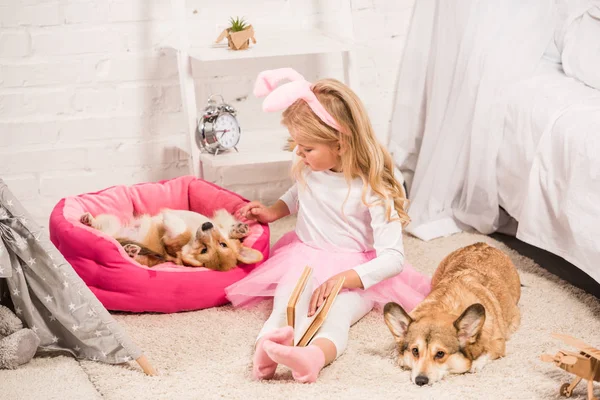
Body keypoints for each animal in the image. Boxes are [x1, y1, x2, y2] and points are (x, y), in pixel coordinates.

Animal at [79, 209, 262, 272]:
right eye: (222, 243)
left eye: (204, 250)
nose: (206, 226)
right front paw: (239, 229)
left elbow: (179, 232)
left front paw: (168, 217)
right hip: (111, 223)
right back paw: (87, 221)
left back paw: (129, 250)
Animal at [384, 242, 520, 386]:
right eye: (415, 351)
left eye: (440, 354)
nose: (420, 381)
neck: (442, 308)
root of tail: (483, 244)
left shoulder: (498, 343)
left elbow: (487, 353)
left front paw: (475, 364)